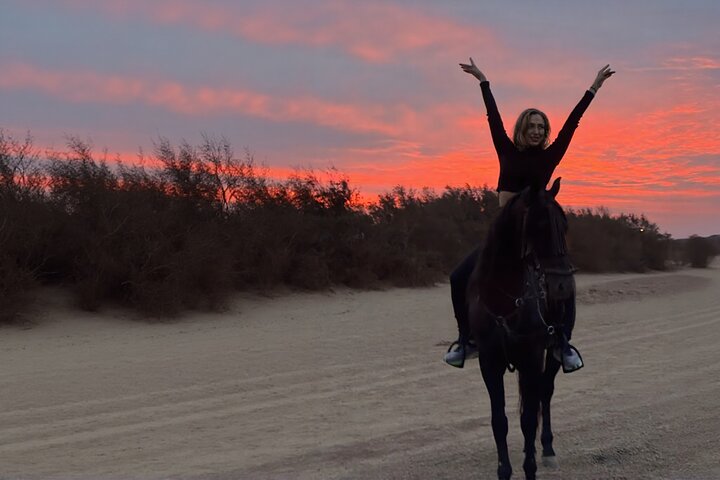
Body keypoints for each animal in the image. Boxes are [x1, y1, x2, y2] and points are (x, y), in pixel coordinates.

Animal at [467, 178, 577, 480]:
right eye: (540, 225)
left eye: (565, 226)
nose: (563, 286)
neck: (505, 299)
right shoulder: (489, 362)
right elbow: (499, 421)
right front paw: (504, 471)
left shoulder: (531, 358)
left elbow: (528, 420)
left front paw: (530, 468)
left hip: (554, 350)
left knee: (545, 392)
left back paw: (548, 450)